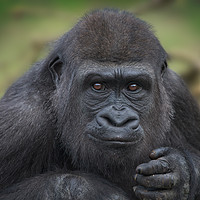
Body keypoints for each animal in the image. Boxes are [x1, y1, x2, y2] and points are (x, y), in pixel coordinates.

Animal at [0, 8, 200, 199]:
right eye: (98, 86)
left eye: (133, 86)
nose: (118, 120)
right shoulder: (22, 122)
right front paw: (83, 189)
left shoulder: (178, 93)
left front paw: (180, 171)